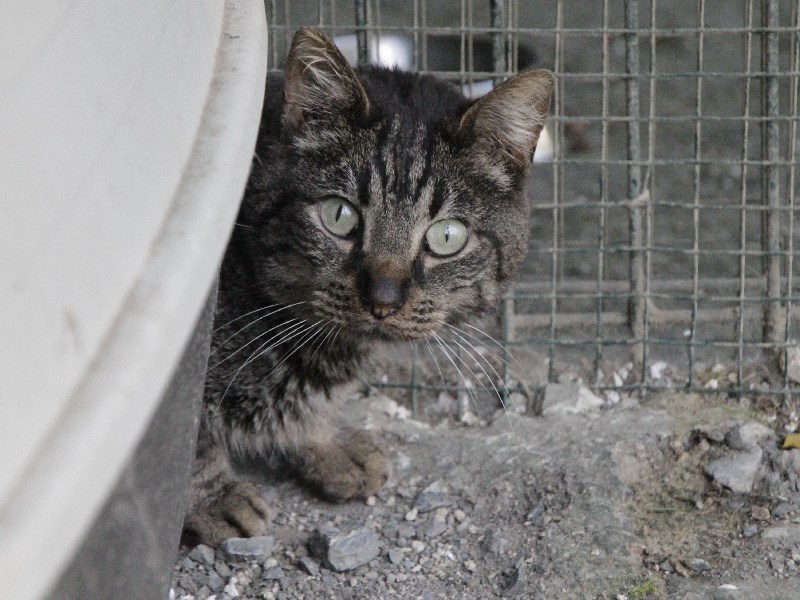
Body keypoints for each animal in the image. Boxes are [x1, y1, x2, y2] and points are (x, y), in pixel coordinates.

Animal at [182, 26, 553, 546]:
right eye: (339, 215)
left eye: (447, 236)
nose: (383, 299)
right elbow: (187, 430)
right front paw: (211, 496)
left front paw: (324, 442)